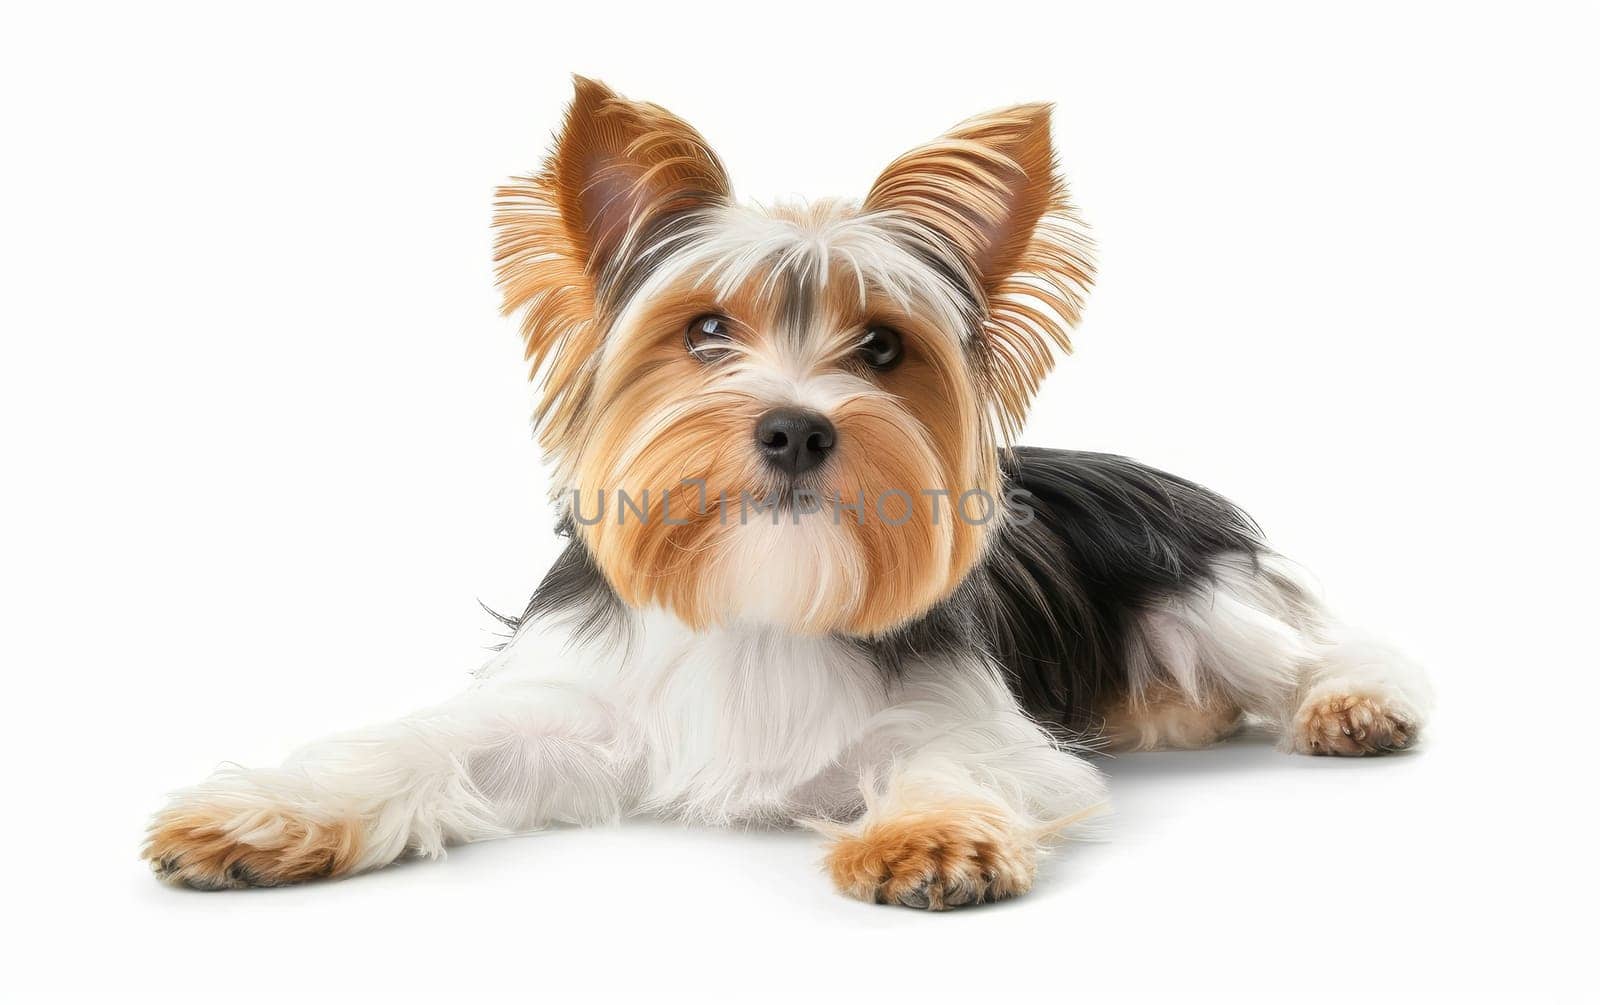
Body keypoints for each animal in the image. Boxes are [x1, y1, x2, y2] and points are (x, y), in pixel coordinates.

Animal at [144, 76, 1433, 908]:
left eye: (883, 348)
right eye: (705, 331)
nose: (796, 427)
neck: (762, 584)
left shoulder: (973, 721)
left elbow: (961, 758)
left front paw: (928, 838)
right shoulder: (573, 707)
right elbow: (427, 742)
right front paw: (267, 818)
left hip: (1192, 592)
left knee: (1307, 650)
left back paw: (1348, 705)